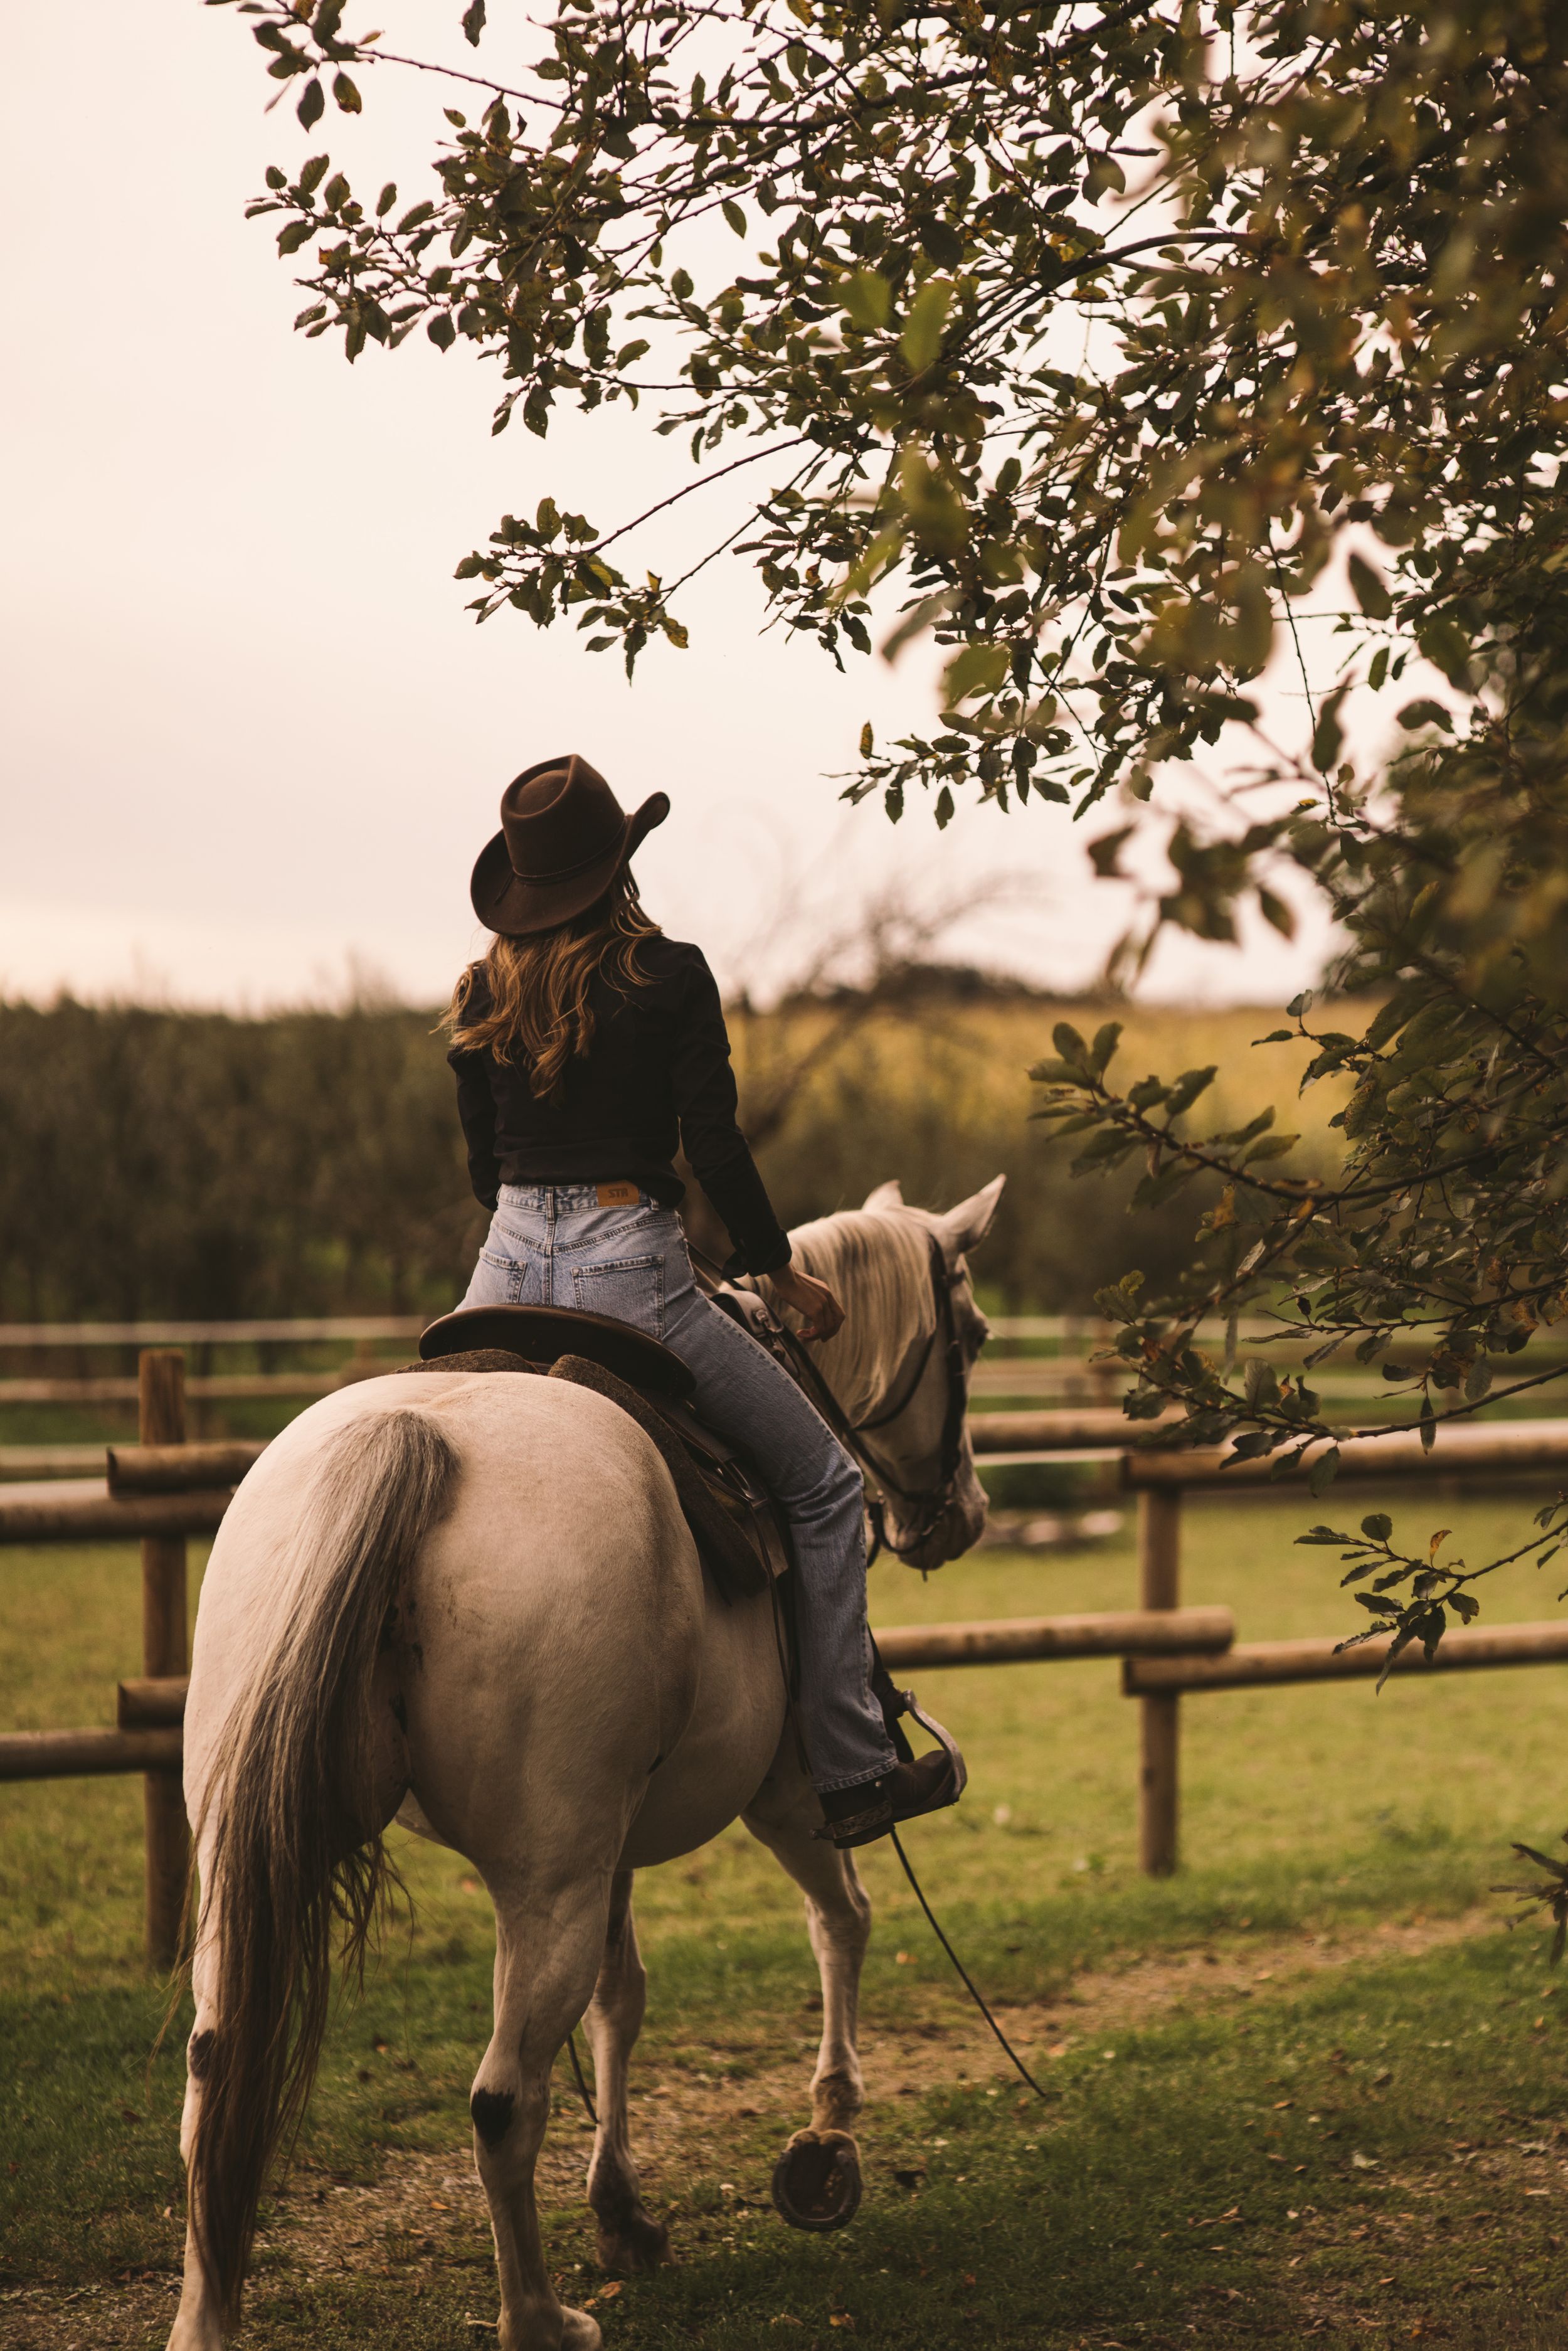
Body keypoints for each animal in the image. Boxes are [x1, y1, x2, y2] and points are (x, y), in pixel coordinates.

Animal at [166, 1173, 1005, 2351]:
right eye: (971, 1336)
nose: (960, 1515)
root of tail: (413, 1441)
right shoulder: (789, 1792)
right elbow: (840, 1917)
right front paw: (828, 2131)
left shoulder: (612, 1842)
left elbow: (621, 1995)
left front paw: (623, 2211)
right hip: (549, 1879)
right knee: (503, 2101)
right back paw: (540, 2316)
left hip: (259, 1856)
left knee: (217, 2064)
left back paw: (205, 2317)